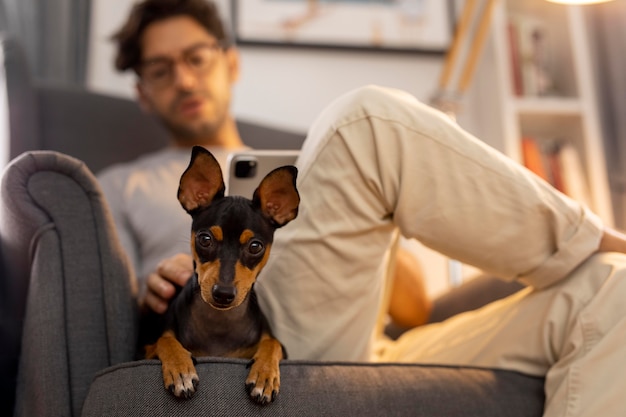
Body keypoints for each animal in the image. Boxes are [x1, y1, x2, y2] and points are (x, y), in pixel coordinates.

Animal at [147, 146, 302, 404]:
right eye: (205, 239)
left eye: (255, 246)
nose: (223, 294)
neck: (220, 322)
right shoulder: (146, 348)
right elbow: (164, 339)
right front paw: (180, 370)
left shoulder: (282, 348)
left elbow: (273, 343)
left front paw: (264, 375)